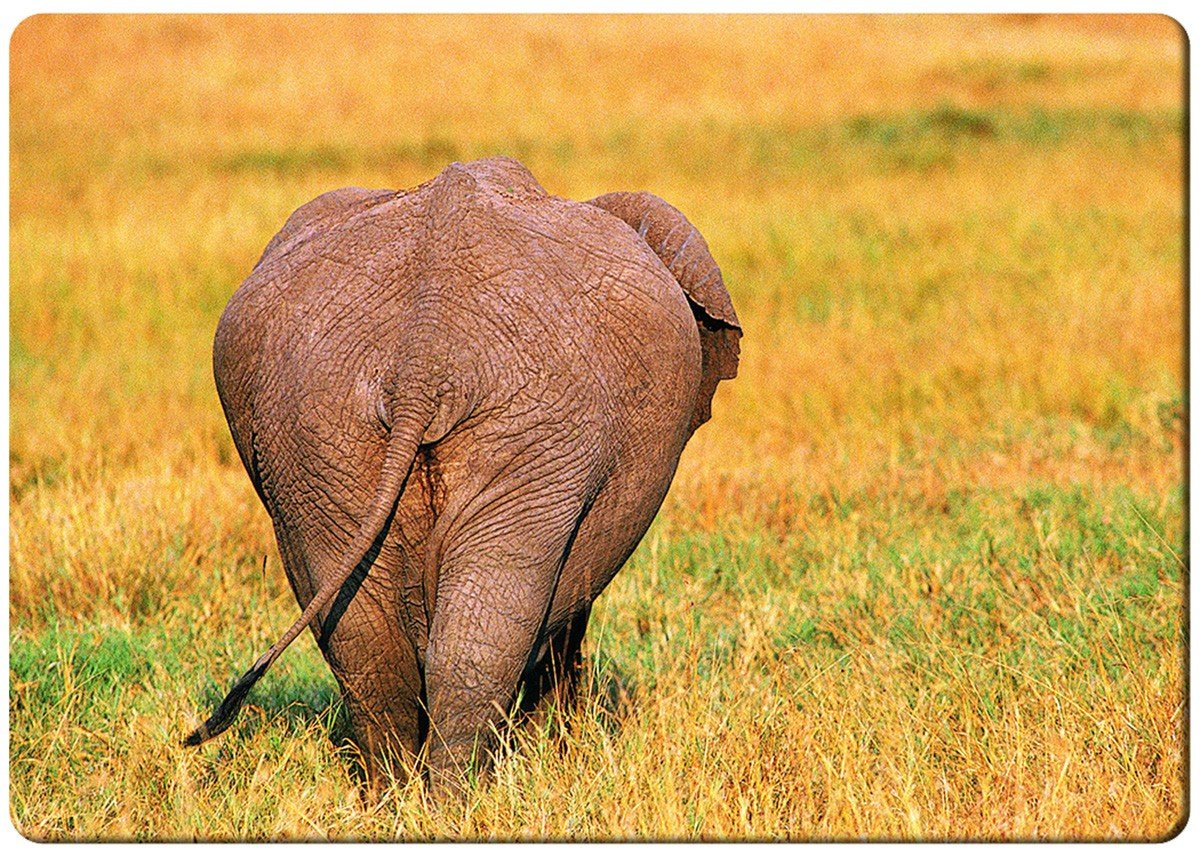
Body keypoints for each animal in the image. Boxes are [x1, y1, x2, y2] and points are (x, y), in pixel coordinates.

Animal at [184, 156, 740, 793]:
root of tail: (424, 357)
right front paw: (556, 752)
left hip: (313, 426)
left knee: (369, 638)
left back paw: (399, 796)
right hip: (538, 424)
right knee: (485, 624)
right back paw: (460, 797)